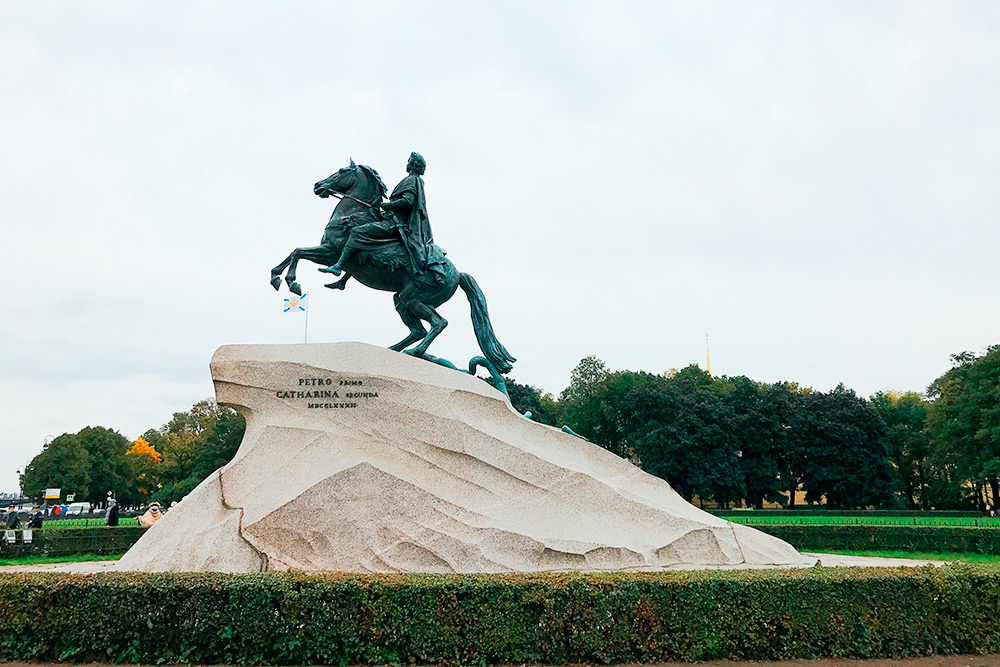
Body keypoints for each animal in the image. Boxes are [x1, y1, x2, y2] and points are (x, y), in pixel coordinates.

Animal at [268, 158, 516, 376]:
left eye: (341, 170)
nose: (318, 185)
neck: (355, 213)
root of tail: (457, 274)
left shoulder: (330, 252)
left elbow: (299, 252)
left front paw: (293, 282)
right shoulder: (325, 251)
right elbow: (292, 253)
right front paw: (276, 277)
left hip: (414, 298)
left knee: (438, 323)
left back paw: (414, 351)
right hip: (402, 299)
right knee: (419, 329)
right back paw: (394, 349)